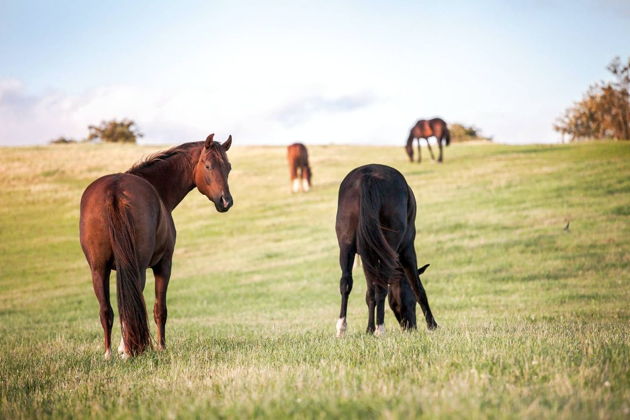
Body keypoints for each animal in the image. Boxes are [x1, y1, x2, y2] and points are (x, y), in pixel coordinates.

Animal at [79, 134, 235, 358]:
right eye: (208, 166)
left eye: (228, 167)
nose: (226, 201)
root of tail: (114, 191)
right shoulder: (164, 265)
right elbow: (159, 309)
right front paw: (160, 346)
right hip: (138, 267)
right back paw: (130, 350)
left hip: (98, 269)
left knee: (106, 310)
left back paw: (109, 353)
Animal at [336, 162, 440, 336]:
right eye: (411, 301)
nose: (410, 327)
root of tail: (368, 176)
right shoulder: (407, 250)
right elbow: (418, 288)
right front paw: (432, 325)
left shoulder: (367, 256)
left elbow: (369, 293)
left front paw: (369, 329)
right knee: (382, 287)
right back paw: (380, 328)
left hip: (347, 247)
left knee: (346, 283)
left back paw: (342, 328)